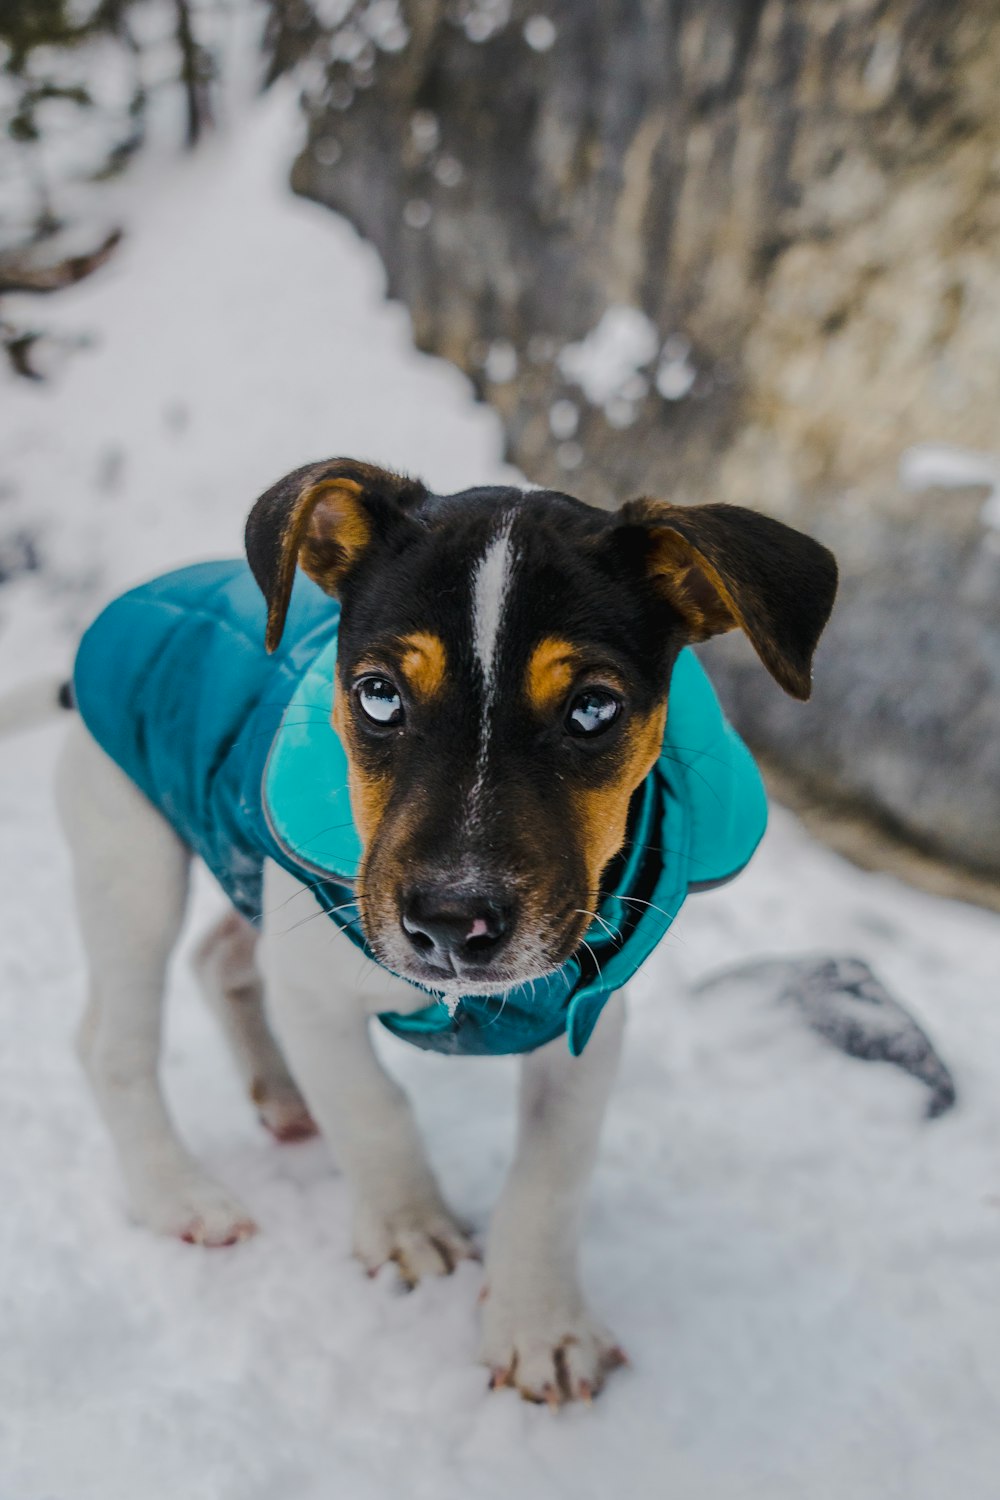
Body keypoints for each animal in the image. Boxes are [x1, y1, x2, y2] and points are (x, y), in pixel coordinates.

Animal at [39, 459, 839, 1404]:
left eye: (594, 709)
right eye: (379, 695)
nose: (453, 923)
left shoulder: (588, 1018)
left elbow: (551, 1173)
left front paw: (540, 1324)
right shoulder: (314, 987)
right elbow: (372, 1106)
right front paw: (409, 1228)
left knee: (220, 959)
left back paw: (281, 1097)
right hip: (131, 857)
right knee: (112, 1042)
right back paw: (180, 1196)